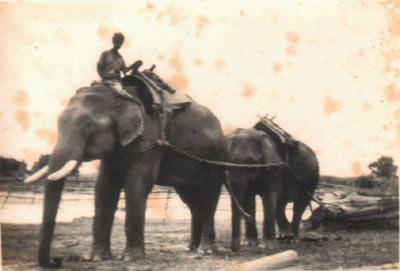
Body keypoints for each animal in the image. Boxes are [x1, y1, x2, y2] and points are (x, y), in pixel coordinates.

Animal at [25, 72, 228, 268]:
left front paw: (130, 259)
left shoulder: (150, 138)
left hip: (215, 157)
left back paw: (205, 250)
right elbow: (104, 187)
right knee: (192, 201)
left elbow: (136, 185)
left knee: (209, 195)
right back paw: (191, 248)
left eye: (88, 126)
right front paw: (96, 258)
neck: (122, 96)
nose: (57, 261)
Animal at [225, 125, 318, 253]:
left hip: (310, 181)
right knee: (281, 205)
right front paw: (249, 243)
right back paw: (284, 236)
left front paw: (267, 246)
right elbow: (249, 199)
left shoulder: (276, 167)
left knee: (299, 206)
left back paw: (293, 239)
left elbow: (270, 197)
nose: (236, 249)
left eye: (250, 161)